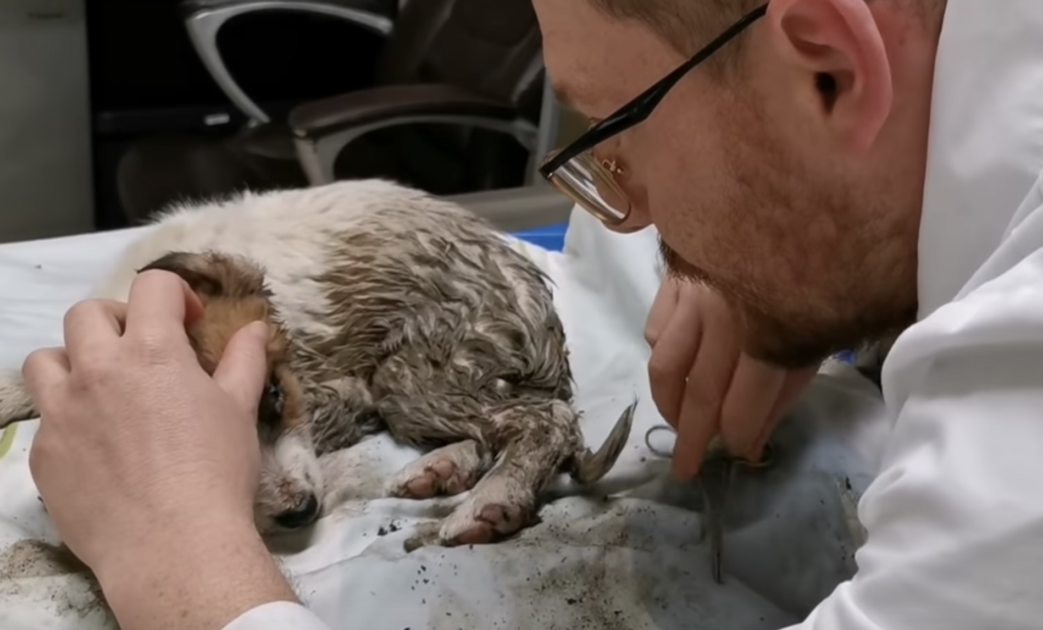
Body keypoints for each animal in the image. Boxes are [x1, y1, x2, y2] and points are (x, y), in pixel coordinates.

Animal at [0, 179, 634, 550]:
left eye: (276, 396)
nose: (300, 513)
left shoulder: (342, 392)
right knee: (498, 423)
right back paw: (440, 469)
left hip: (414, 371)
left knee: (543, 419)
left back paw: (492, 498)